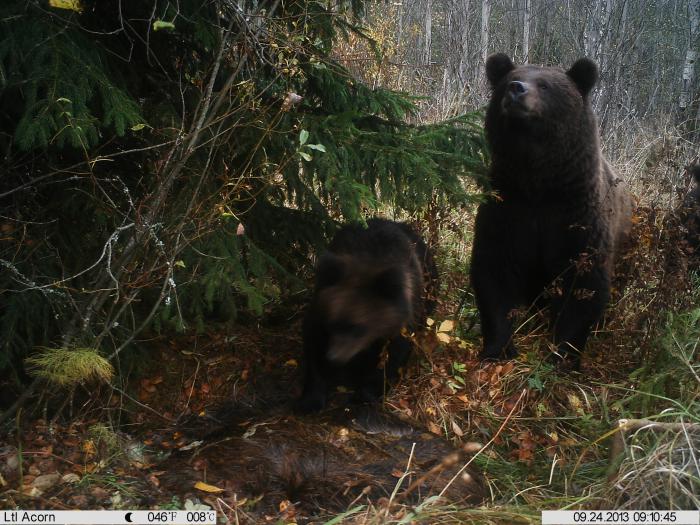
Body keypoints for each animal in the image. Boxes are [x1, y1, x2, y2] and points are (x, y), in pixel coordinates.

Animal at [474, 52, 632, 364]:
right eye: (510, 79)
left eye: (545, 85)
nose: (516, 90)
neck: (539, 181)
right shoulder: (507, 206)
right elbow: (494, 270)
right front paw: (499, 348)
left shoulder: (579, 215)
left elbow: (584, 281)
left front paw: (562, 354)